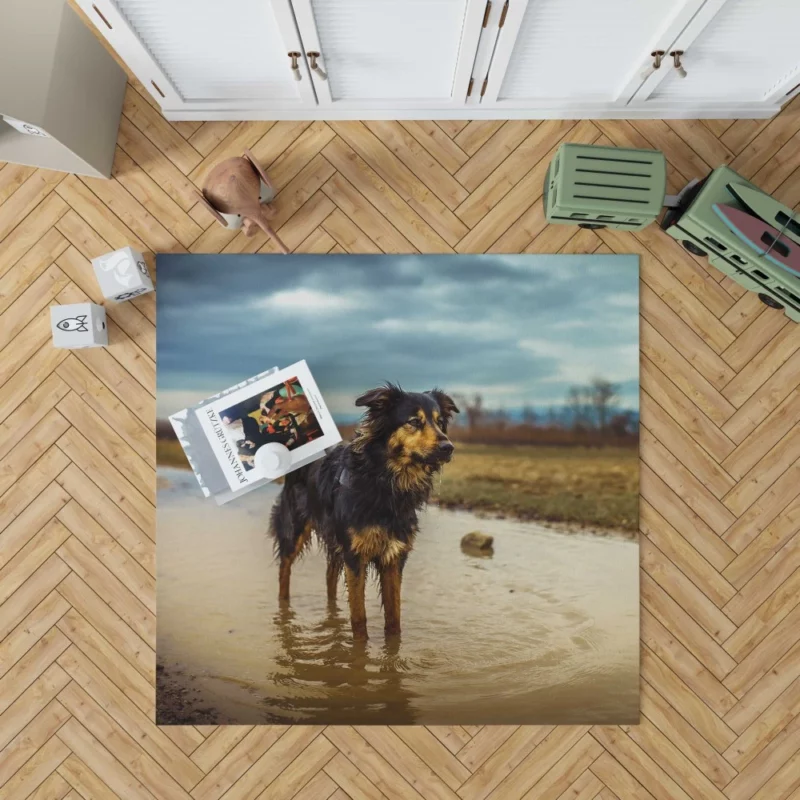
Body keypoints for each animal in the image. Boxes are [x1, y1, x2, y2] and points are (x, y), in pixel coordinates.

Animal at [268, 384, 456, 640]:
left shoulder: (393, 556)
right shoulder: (355, 556)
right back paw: (284, 613)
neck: (386, 484)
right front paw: (360, 649)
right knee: (284, 572)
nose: (449, 448)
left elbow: (394, 619)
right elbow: (359, 619)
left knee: (329, 578)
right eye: (414, 421)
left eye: (440, 422)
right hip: (294, 529)